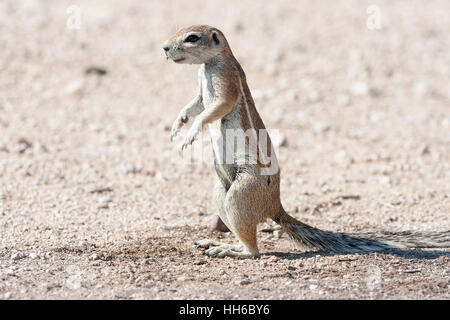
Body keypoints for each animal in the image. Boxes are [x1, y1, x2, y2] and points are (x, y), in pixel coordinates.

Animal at [163, 25, 450, 260]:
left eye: (192, 37)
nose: (164, 48)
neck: (209, 64)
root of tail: (275, 206)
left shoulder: (226, 81)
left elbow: (216, 107)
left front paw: (191, 132)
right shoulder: (201, 90)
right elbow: (195, 104)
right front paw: (179, 122)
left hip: (241, 192)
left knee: (254, 250)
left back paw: (232, 251)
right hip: (220, 190)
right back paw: (217, 243)